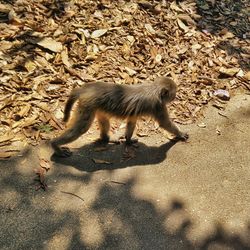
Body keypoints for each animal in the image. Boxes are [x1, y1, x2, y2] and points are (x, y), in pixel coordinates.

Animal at [50, 77, 188, 157]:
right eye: (174, 93)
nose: (175, 96)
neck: (154, 89)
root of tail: (88, 88)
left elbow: (131, 120)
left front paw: (128, 140)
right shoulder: (157, 105)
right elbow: (165, 123)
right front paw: (180, 134)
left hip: (96, 105)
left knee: (103, 119)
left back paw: (106, 138)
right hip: (87, 104)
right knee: (81, 128)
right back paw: (55, 146)